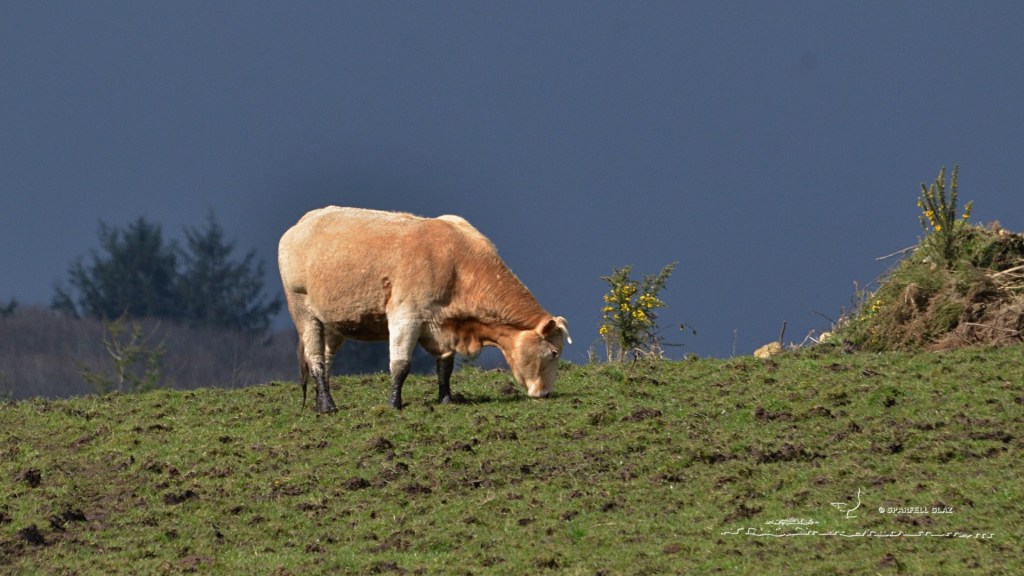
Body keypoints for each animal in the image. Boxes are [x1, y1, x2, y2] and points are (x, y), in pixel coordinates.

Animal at [278, 206, 571, 413]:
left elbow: (445, 366)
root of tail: (304, 222)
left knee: (324, 359)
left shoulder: (443, 327)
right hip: (304, 312)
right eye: (554, 352)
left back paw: (320, 403)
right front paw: (394, 405)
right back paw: (329, 406)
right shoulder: (405, 315)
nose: (546, 393)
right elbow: (400, 365)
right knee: (315, 358)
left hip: (332, 323)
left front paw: (446, 399)